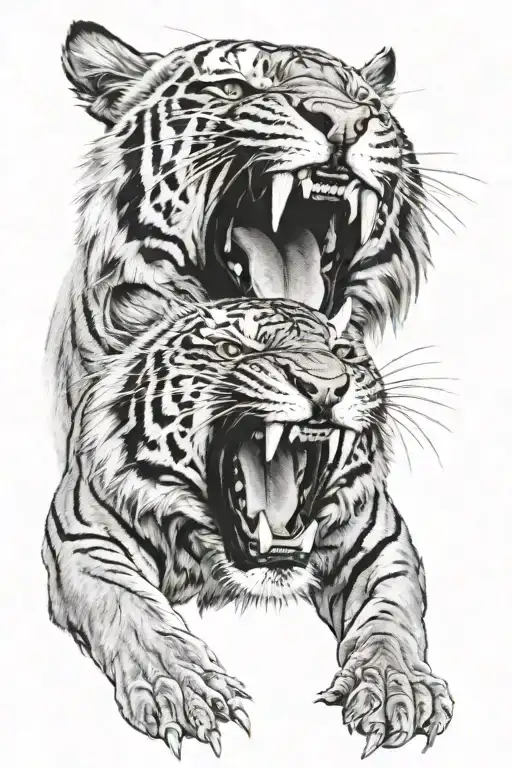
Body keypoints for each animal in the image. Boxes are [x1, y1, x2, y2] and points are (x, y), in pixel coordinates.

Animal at [42, 295, 453, 759]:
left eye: (343, 352)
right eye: (231, 350)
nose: (326, 385)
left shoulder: (383, 547)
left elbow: (389, 620)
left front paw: (396, 688)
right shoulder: (84, 540)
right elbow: (134, 611)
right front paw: (183, 688)